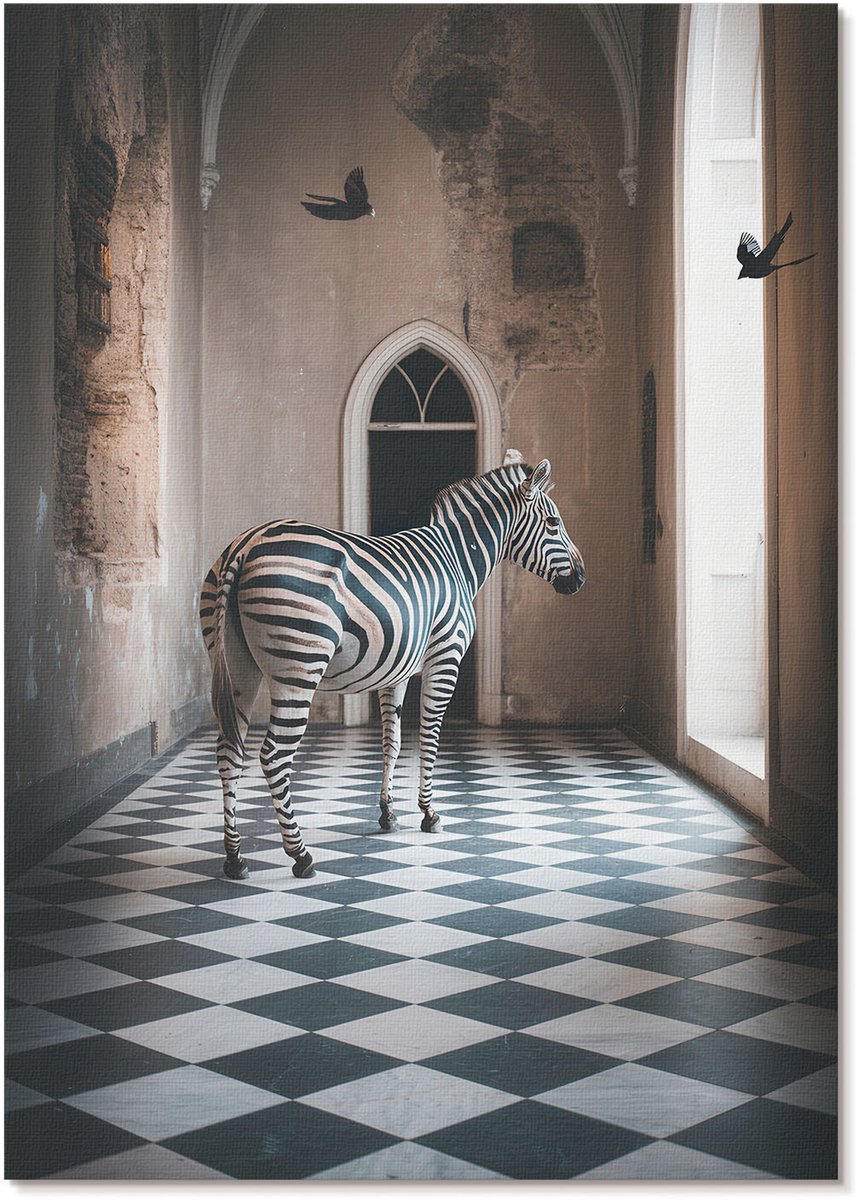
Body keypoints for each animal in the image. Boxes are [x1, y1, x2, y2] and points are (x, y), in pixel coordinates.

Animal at [199, 450, 585, 881]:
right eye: (553, 523)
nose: (581, 578)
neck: (457, 558)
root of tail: (247, 543)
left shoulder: (395, 671)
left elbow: (392, 742)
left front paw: (388, 813)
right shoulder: (445, 656)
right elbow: (430, 737)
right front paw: (429, 813)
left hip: (238, 668)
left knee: (228, 752)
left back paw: (235, 857)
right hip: (299, 666)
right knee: (273, 757)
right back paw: (300, 855)